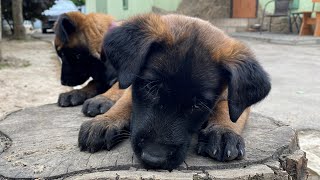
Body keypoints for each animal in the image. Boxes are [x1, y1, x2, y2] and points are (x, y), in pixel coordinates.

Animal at [79, 13, 272, 170]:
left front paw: (223, 131)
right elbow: (125, 101)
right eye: (150, 88)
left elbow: (228, 112)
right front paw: (107, 120)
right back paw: (101, 99)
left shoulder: (236, 101)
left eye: (198, 104)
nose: (154, 157)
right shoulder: (134, 83)